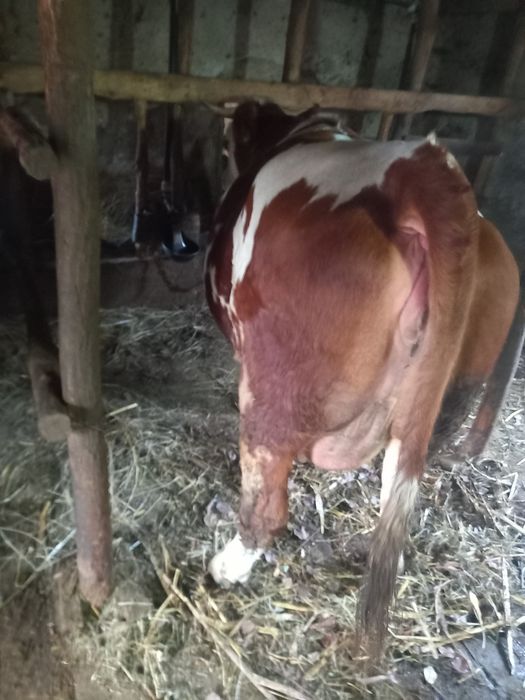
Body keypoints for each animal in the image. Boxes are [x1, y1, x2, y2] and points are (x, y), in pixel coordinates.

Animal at [204, 100, 520, 655]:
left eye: (224, 148)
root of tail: (418, 166)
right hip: (449, 394)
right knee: (405, 473)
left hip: (275, 384)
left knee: (266, 498)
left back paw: (227, 566)